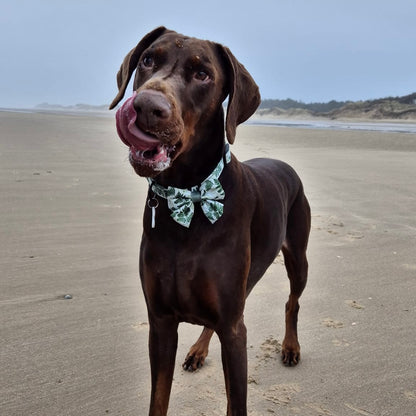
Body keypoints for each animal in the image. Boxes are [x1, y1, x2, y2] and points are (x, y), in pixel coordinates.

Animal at [109, 26, 310, 416]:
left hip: (298, 255)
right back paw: (198, 350)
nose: (146, 107)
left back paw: (290, 347)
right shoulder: (160, 322)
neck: (189, 196)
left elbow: (236, 401)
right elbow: (158, 398)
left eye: (203, 74)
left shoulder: (234, 330)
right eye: (148, 60)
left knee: (292, 301)